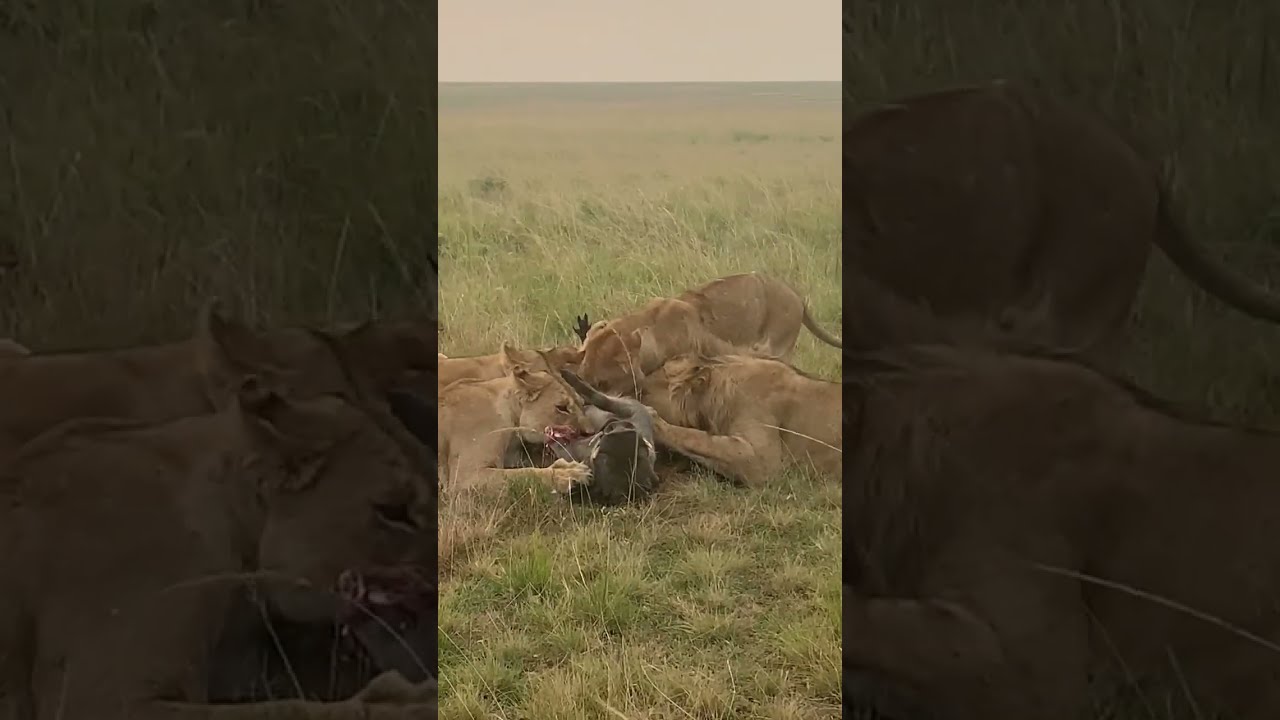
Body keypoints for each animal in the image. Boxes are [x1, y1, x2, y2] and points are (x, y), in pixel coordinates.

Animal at [437, 342, 594, 492]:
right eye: (561, 407)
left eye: (581, 403)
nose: (590, 432)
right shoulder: (465, 476)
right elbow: (523, 474)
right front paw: (568, 473)